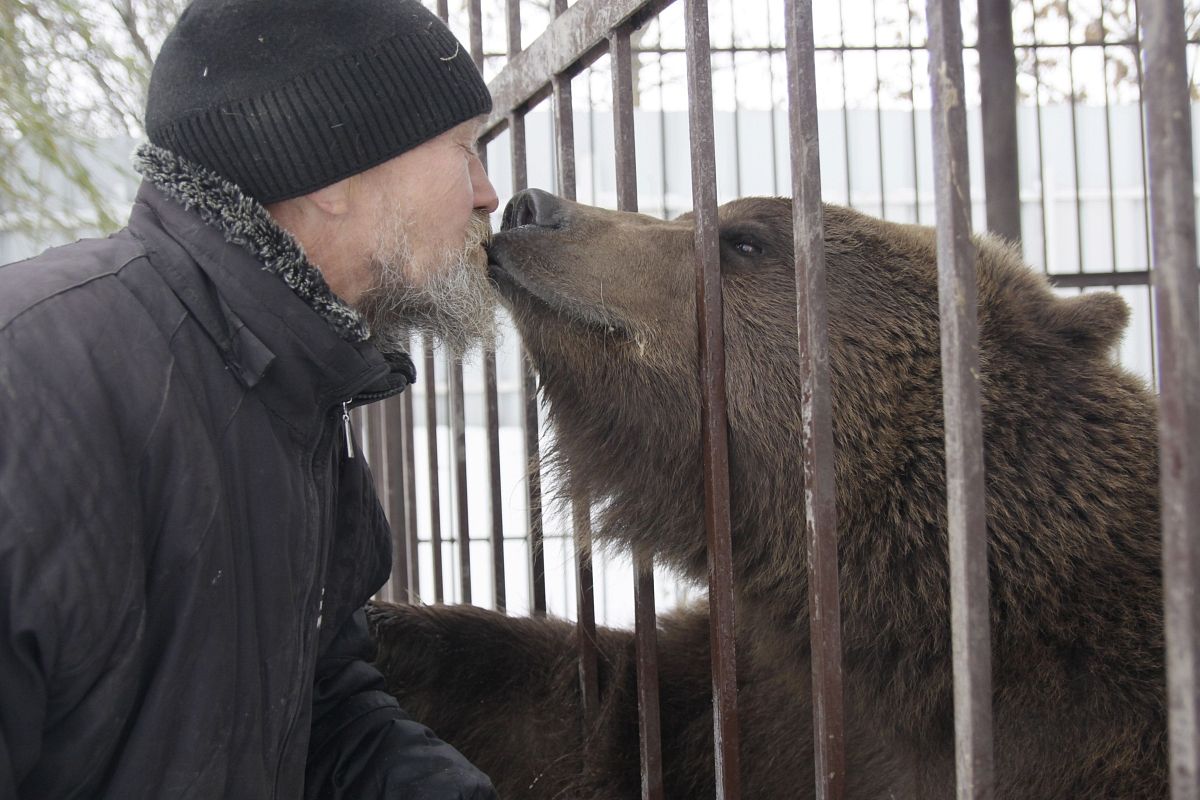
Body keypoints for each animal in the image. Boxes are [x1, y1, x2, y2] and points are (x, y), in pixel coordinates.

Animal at [364, 190, 1161, 796]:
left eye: (744, 241)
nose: (530, 206)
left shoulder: (1091, 729)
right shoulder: (748, 693)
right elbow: (571, 710)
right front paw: (384, 626)